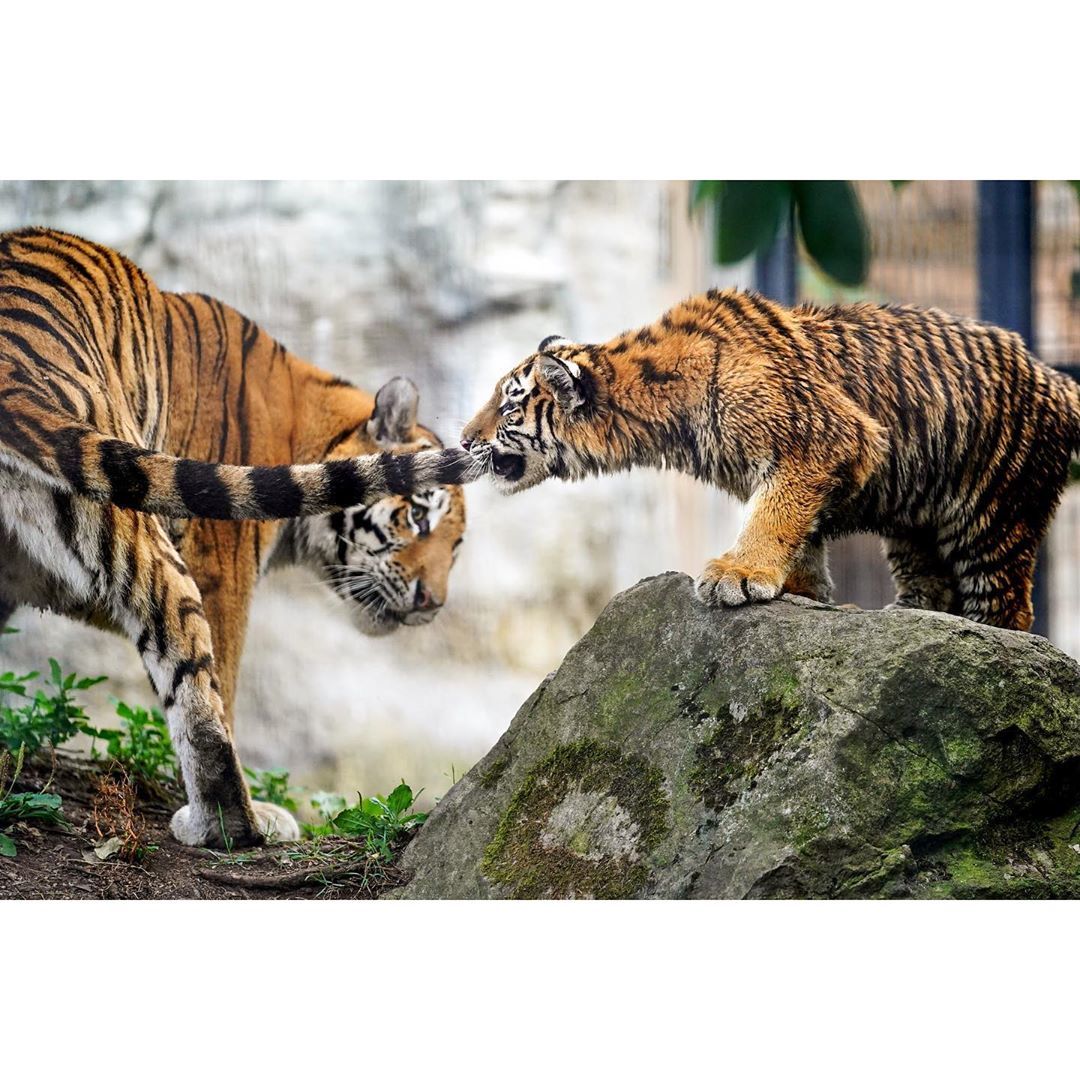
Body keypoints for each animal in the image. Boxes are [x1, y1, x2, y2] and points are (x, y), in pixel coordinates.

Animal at [0, 227, 477, 846]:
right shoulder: (221, 566)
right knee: (188, 667)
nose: (431, 604)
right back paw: (228, 824)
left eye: (456, 547)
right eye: (419, 518)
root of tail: (13, 370)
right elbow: (224, 682)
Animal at [460, 291, 1080, 635]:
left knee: (1009, 610)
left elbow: (776, 514)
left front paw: (738, 575)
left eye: (508, 405)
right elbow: (797, 526)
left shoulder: (825, 438)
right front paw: (800, 590)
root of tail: (1053, 374)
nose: (464, 441)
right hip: (915, 526)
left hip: (994, 518)